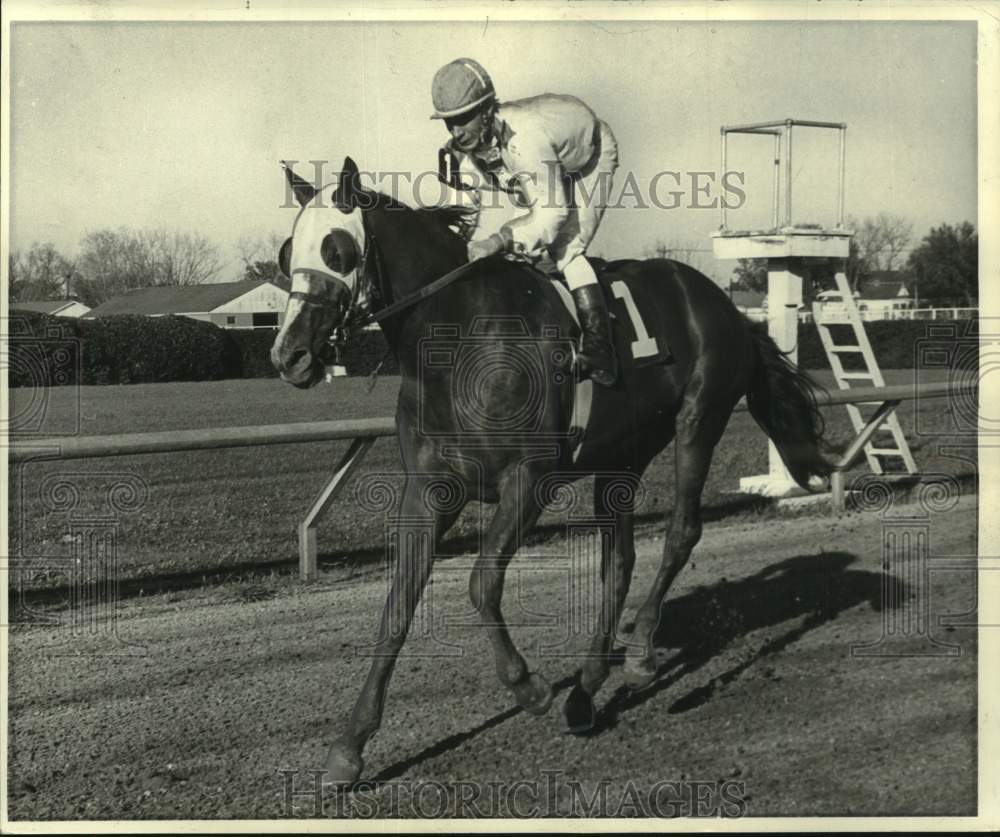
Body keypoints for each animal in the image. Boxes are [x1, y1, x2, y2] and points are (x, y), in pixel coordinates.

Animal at [270, 157, 832, 784]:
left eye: (338, 249)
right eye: (288, 253)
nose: (289, 354)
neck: (459, 339)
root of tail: (726, 305)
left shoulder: (529, 479)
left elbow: (481, 582)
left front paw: (528, 687)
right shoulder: (429, 491)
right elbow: (398, 605)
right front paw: (349, 746)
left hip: (699, 420)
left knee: (681, 532)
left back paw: (638, 653)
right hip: (621, 460)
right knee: (619, 561)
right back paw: (585, 690)